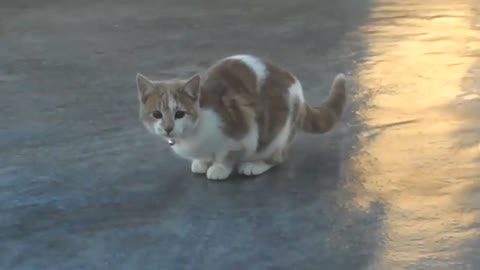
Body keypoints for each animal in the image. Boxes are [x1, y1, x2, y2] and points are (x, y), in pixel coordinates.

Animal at [134, 54, 344, 179]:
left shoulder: (242, 130)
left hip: (279, 129)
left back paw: (255, 165)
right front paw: (202, 162)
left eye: (179, 114)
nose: (168, 128)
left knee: (278, 156)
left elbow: (226, 153)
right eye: (157, 114)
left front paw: (219, 168)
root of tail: (296, 86)